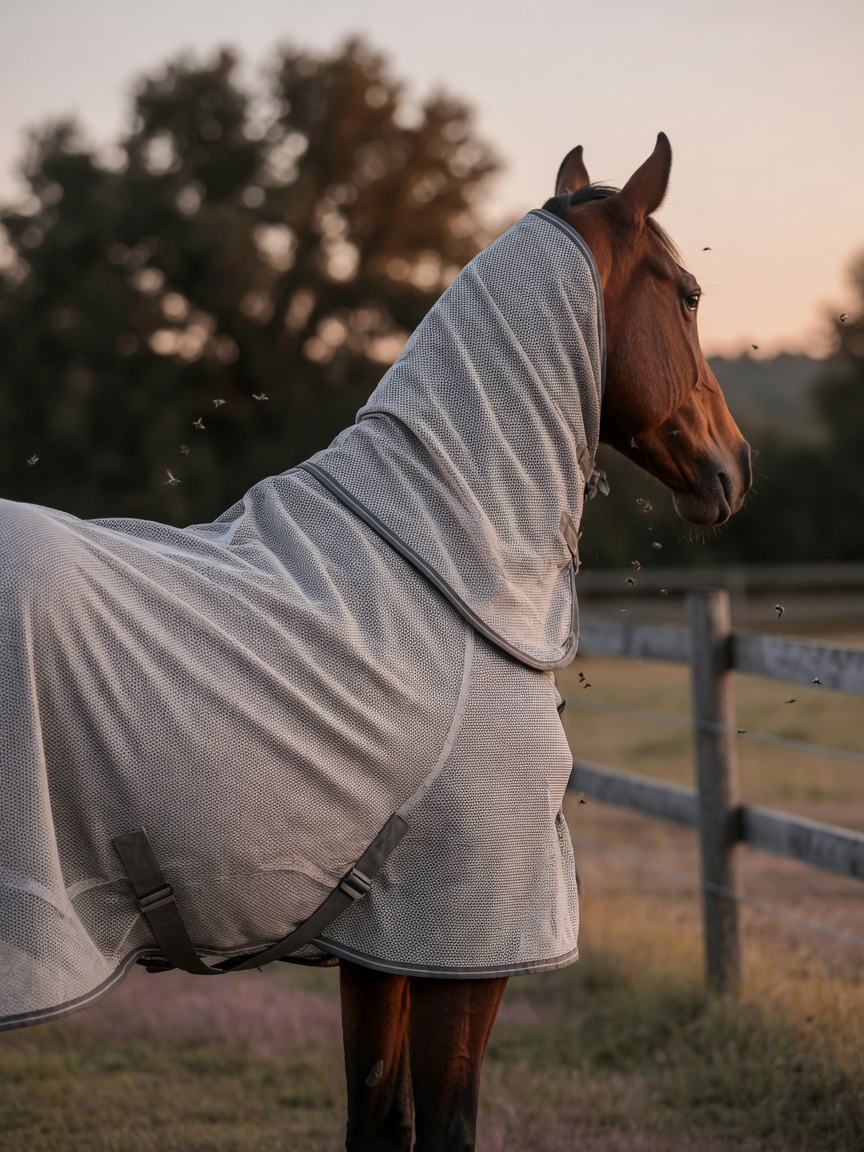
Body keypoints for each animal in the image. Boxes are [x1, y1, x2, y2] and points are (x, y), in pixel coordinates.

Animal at [0, 133, 750, 1151]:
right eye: (689, 294)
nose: (736, 466)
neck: (451, 564)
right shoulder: (466, 946)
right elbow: (444, 1126)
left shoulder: (384, 944)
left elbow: (377, 1116)